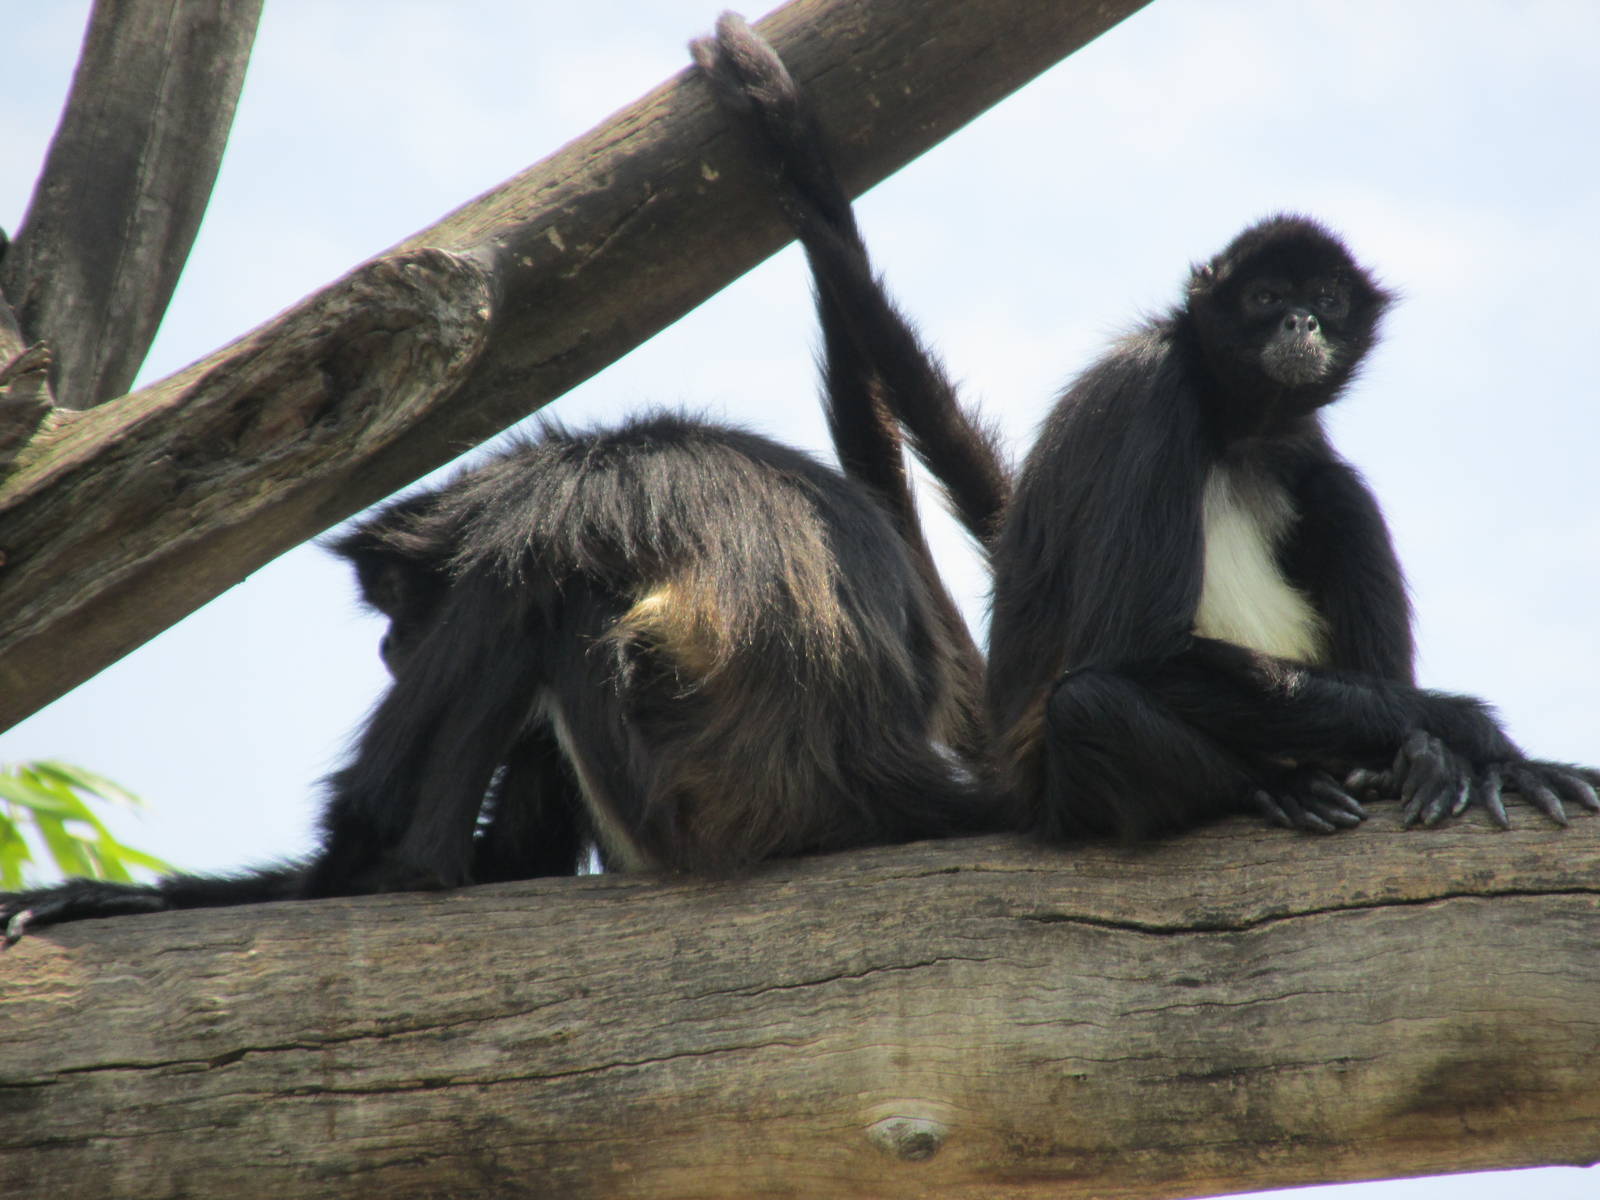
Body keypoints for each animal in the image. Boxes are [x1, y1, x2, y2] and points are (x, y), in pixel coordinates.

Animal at [689, 15, 1600, 839]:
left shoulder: (1288, 433)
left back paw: (1397, 765)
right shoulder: (1151, 399)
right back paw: (1283, 784)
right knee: (1093, 703)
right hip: (1060, 784)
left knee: (1339, 495)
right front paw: (1468, 730)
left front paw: (1461, 750)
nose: (1301, 322)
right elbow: (1137, 655)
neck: (1233, 426)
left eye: (1327, 298)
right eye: (1265, 296)